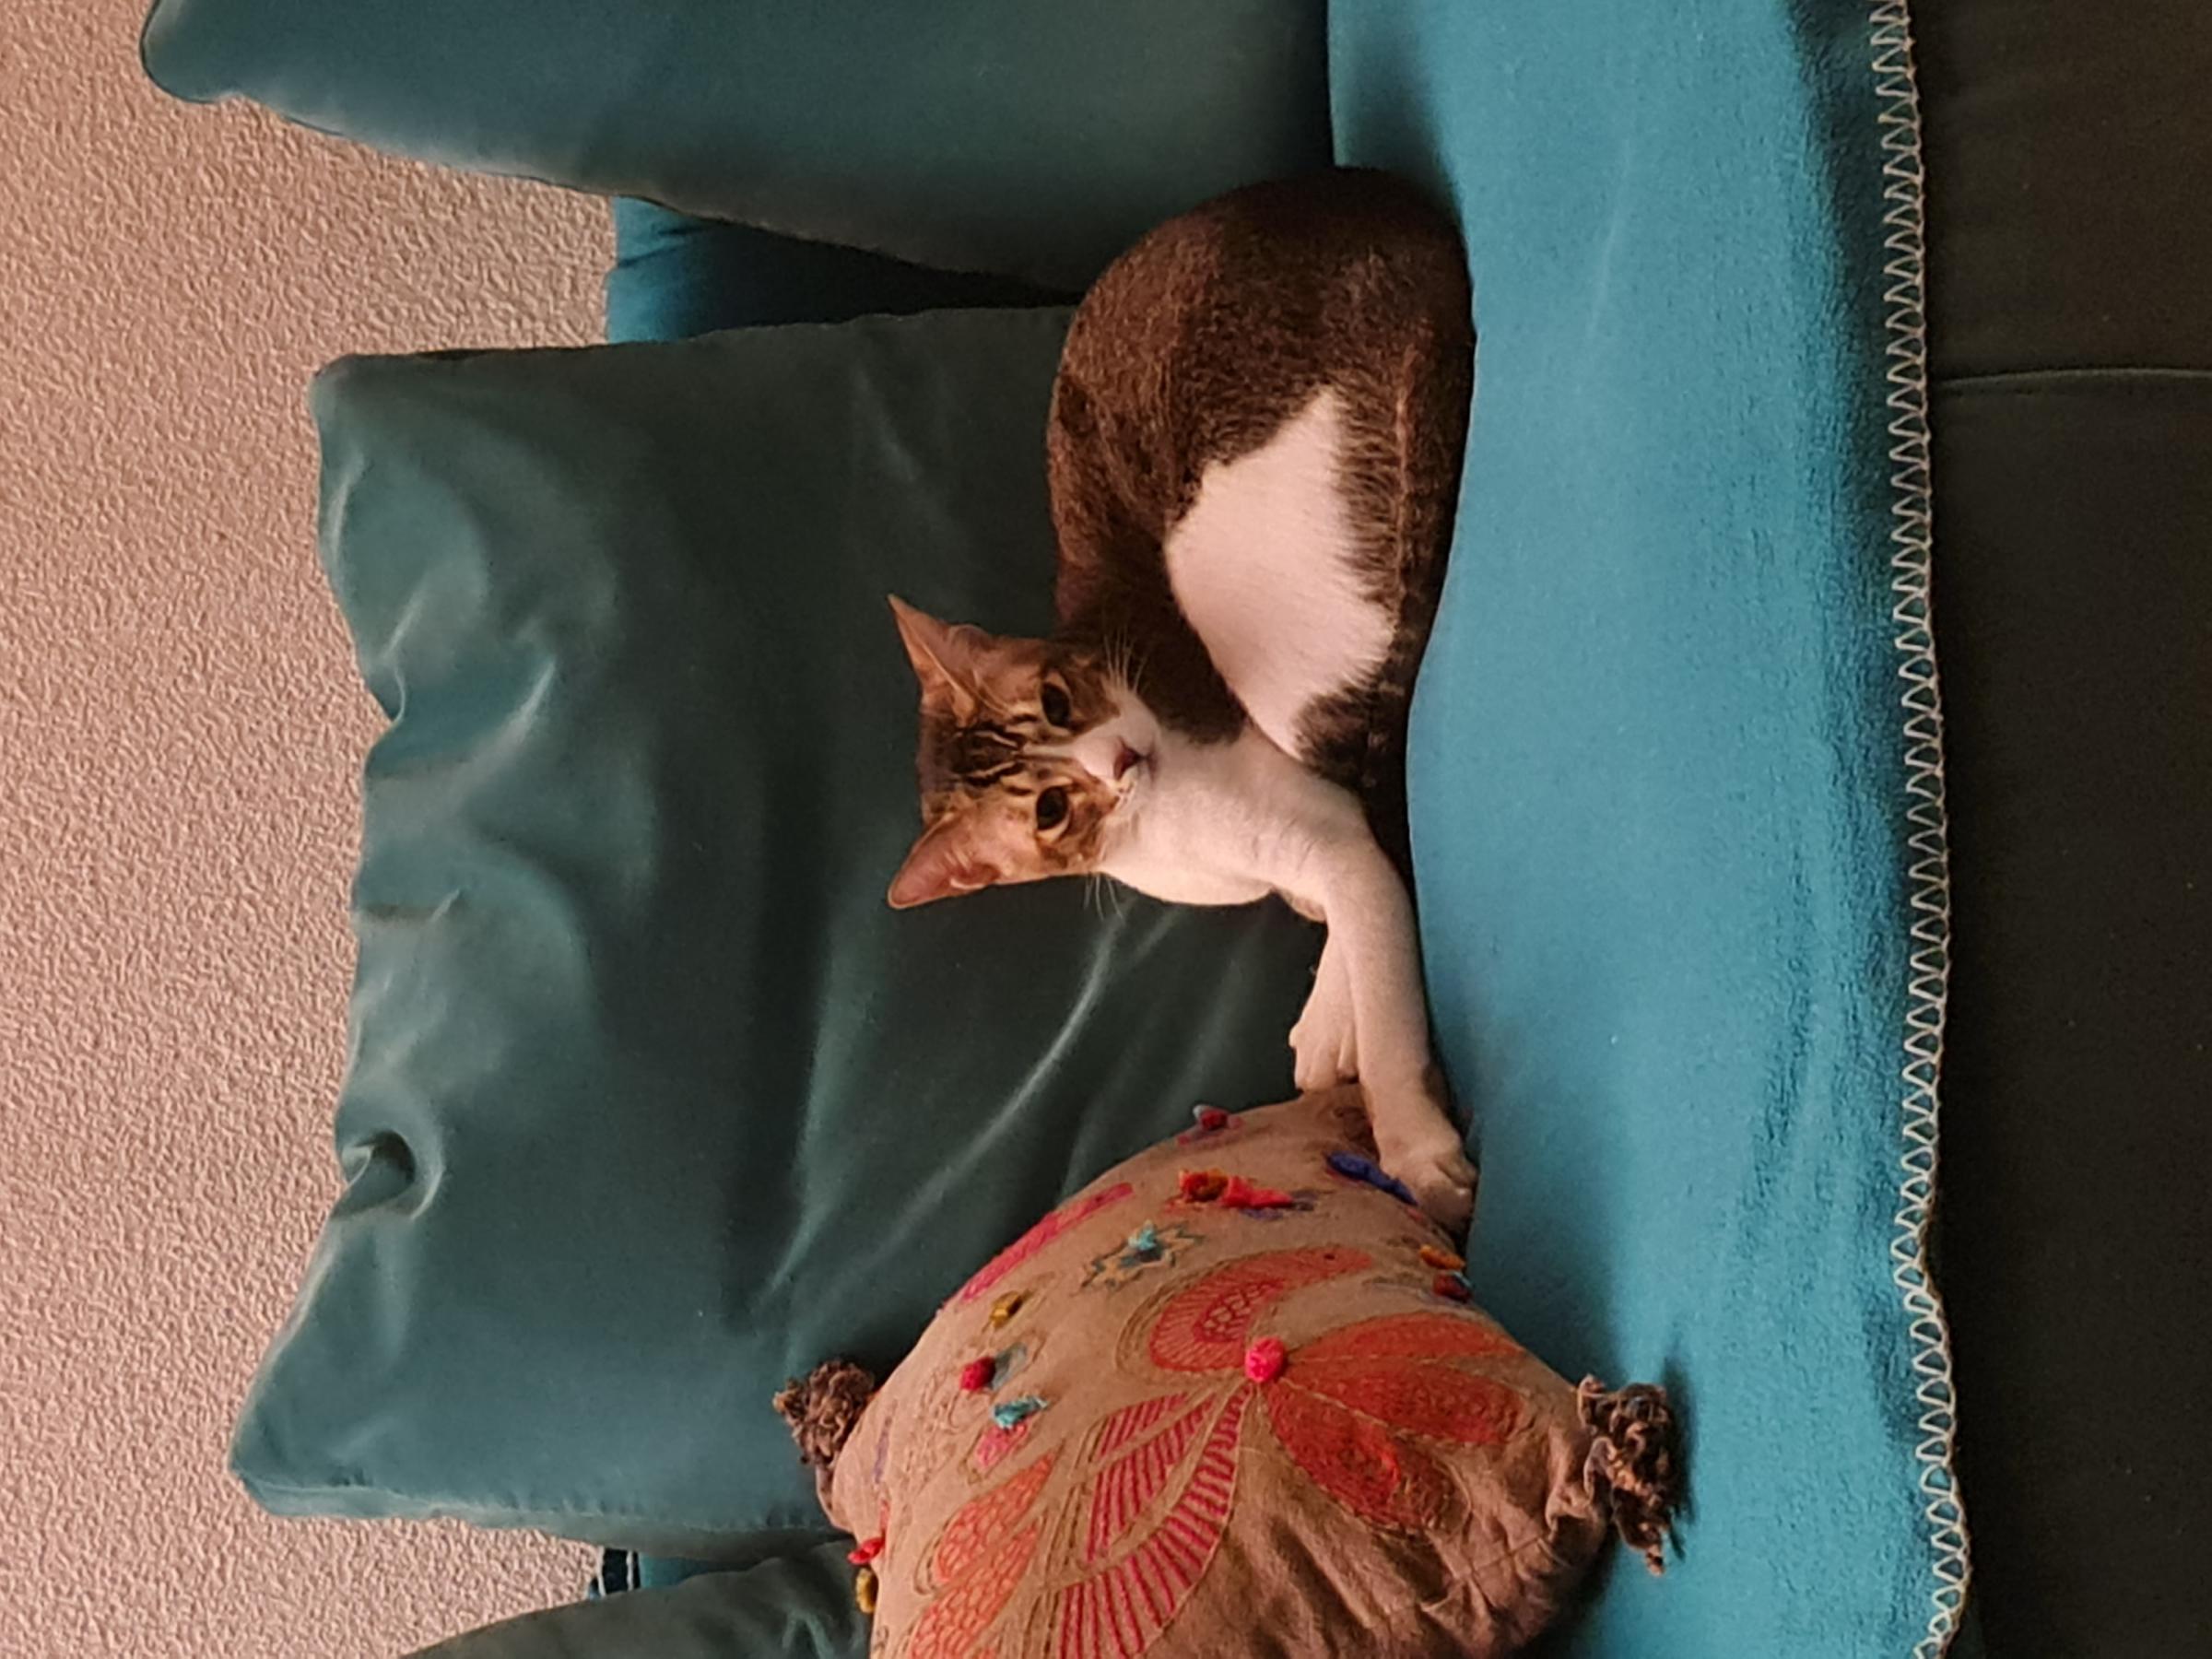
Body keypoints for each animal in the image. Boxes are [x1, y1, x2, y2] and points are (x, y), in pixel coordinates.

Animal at [886, 169, 1477, 1230]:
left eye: (1059, 700)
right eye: (1048, 810)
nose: (1121, 759)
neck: (1161, 830)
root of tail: (1385, 219)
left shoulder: (1319, 830)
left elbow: (1375, 923)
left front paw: (1410, 1139)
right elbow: (1358, 889)